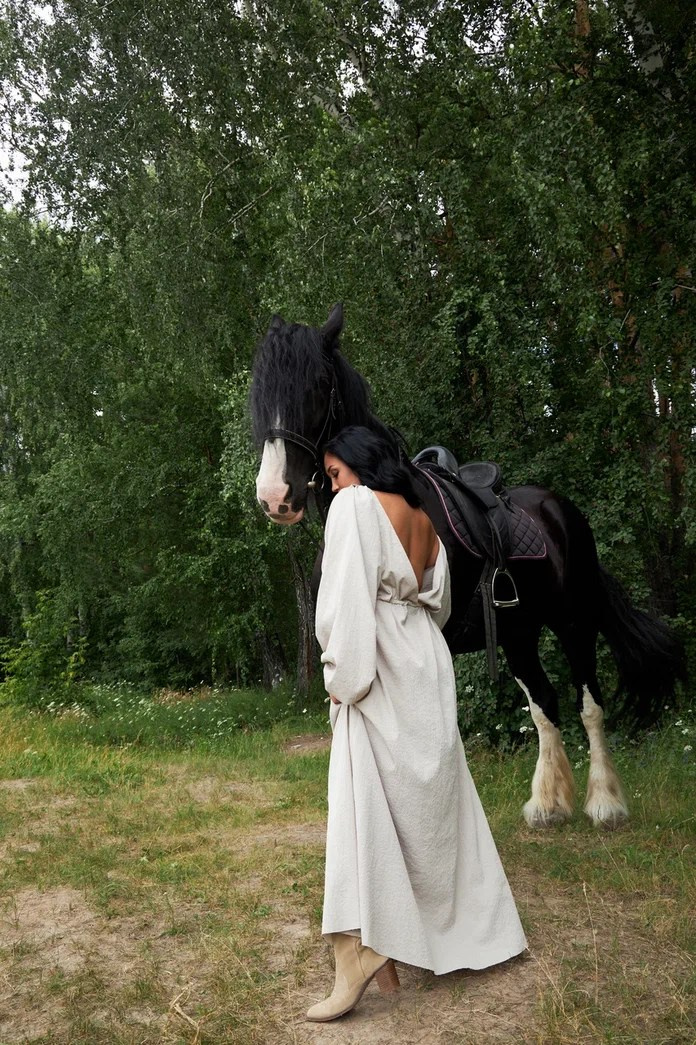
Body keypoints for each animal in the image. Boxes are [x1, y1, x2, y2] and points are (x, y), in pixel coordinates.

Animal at [250, 303, 685, 828]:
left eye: (316, 383)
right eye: (260, 388)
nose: (276, 496)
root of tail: (561, 509)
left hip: (574, 622)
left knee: (589, 704)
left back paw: (604, 803)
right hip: (519, 634)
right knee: (545, 703)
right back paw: (548, 804)